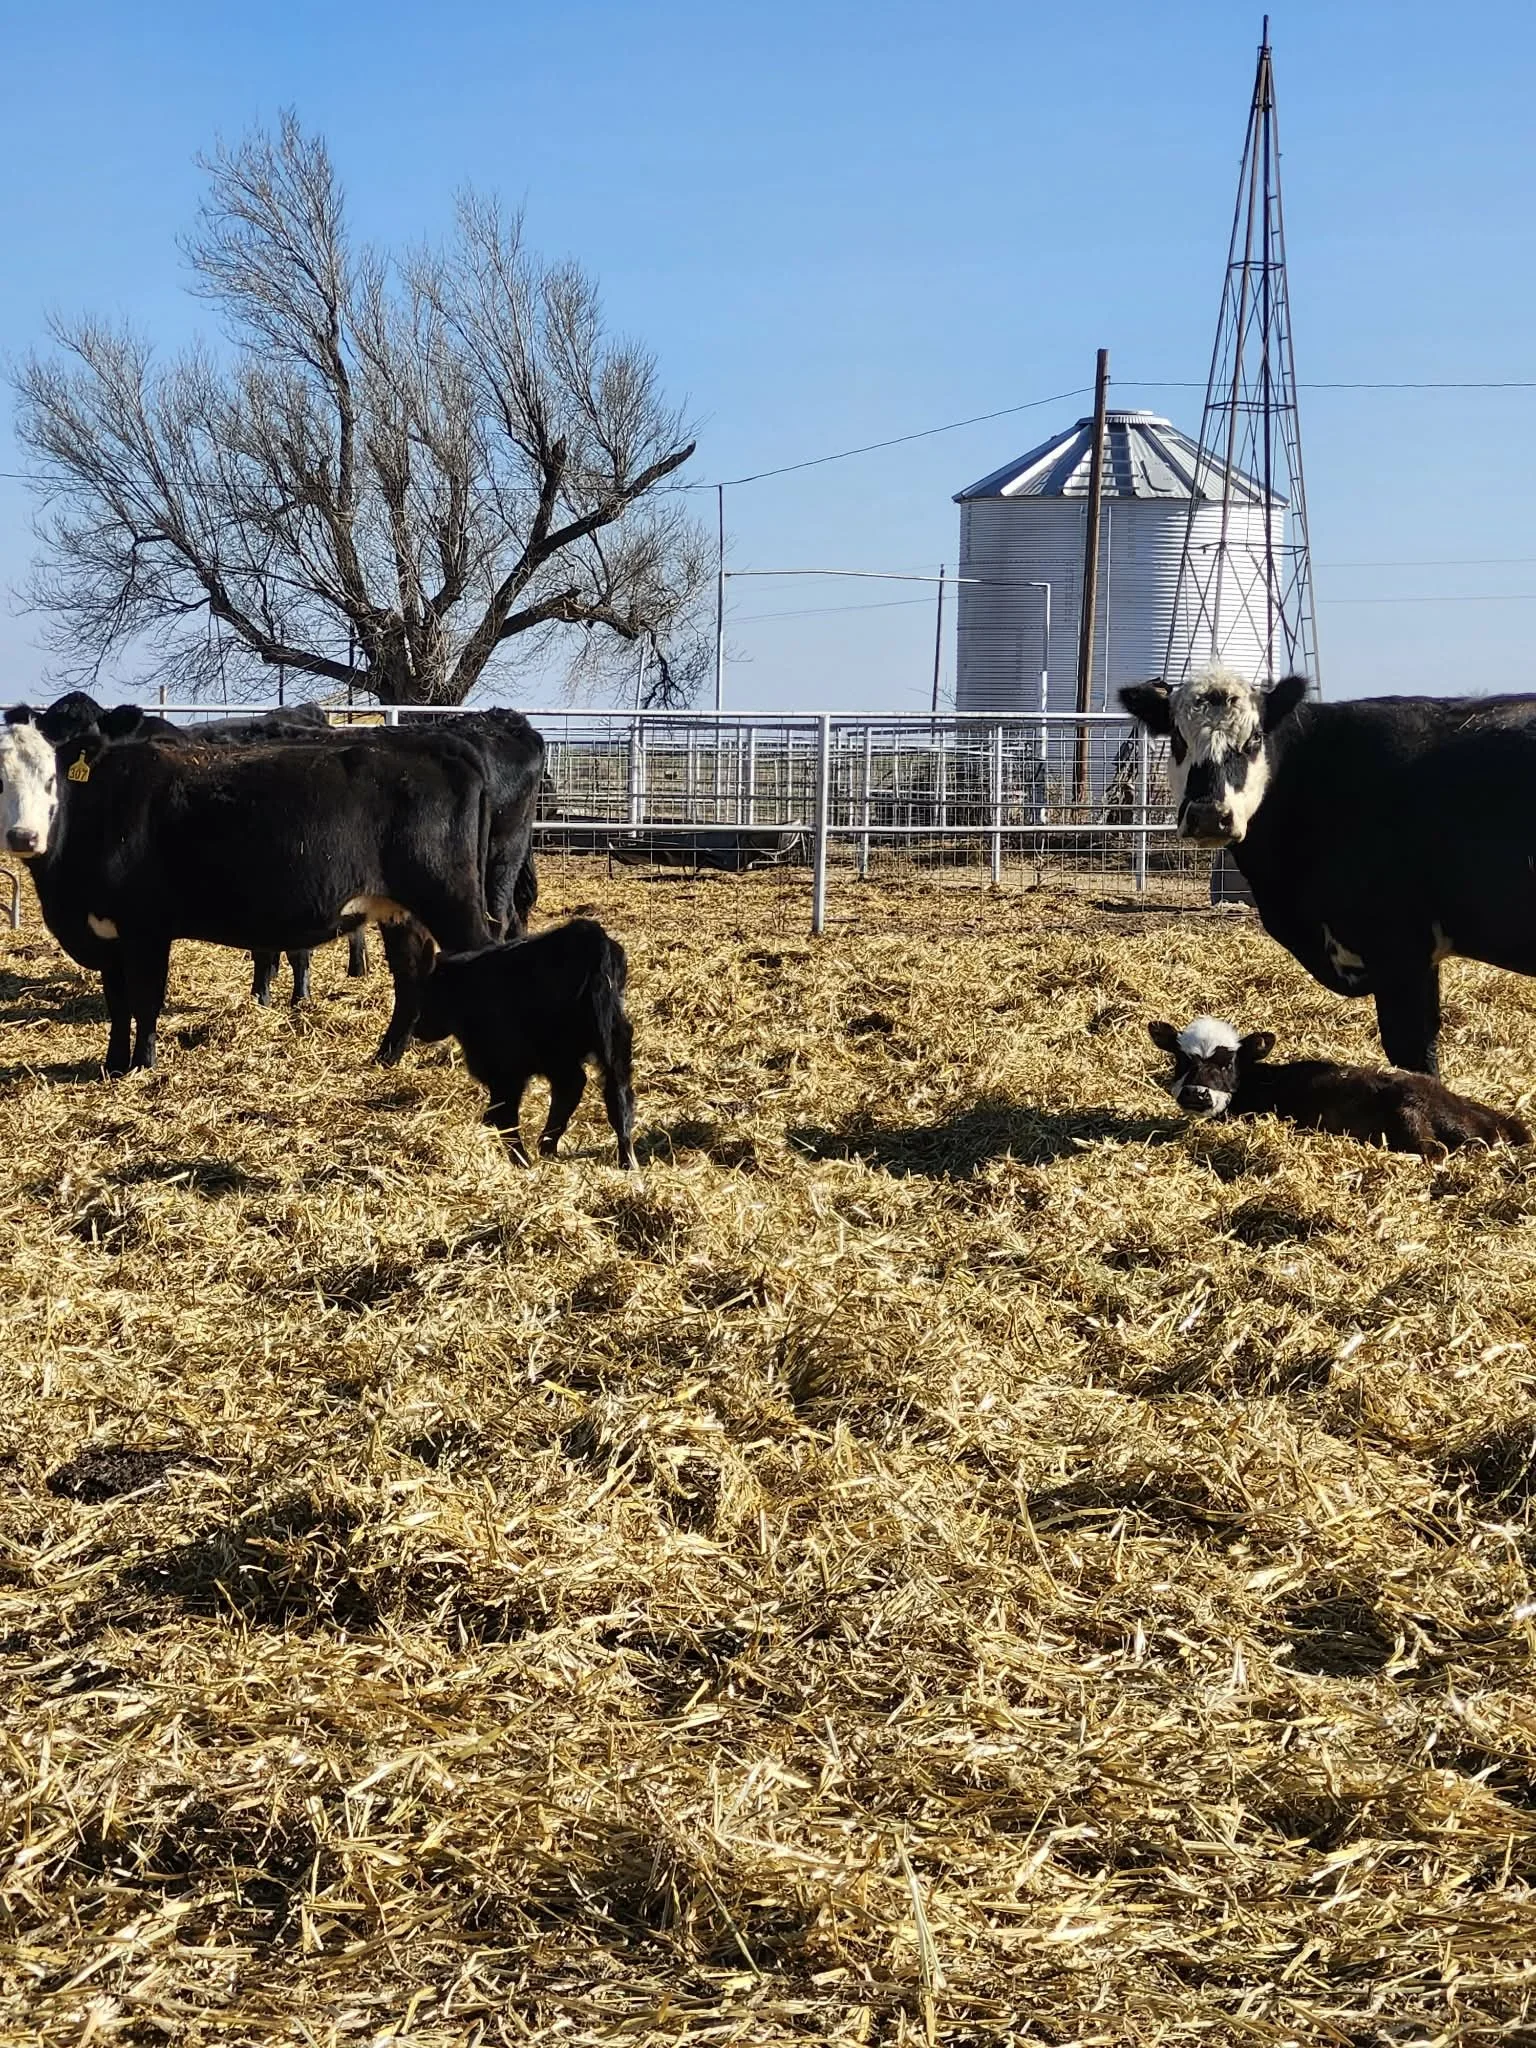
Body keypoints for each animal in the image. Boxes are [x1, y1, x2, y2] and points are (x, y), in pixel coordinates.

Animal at [0, 708, 495, 1075]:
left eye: (52, 779)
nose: (23, 837)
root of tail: (437, 744)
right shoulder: (107, 933)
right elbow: (118, 1002)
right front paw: (113, 1064)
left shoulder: (146, 928)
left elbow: (144, 998)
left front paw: (141, 1065)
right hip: (401, 909)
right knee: (411, 974)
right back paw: (387, 1055)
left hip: (450, 901)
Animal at [405, 918, 637, 1169]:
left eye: (427, 993)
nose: (417, 1028)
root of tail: (588, 934)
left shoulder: (503, 1070)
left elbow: (504, 1114)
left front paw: (518, 1158)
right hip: (614, 1042)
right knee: (617, 1096)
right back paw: (624, 1159)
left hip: (554, 1052)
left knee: (571, 1086)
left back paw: (538, 1150)